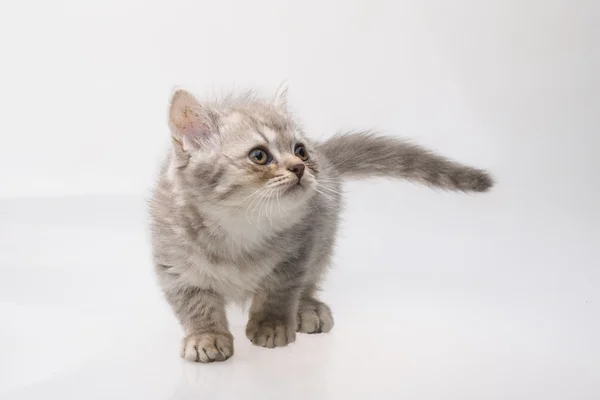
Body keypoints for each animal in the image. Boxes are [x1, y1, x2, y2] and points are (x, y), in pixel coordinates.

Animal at [149, 84, 492, 362]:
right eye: (259, 156)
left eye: (300, 150)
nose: (300, 167)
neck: (238, 228)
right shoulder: (174, 264)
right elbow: (195, 305)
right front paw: (206, 336)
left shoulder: (298, 251)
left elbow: (278, 292)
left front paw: (271, 325)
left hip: (324, 238)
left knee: (310, 281)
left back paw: (308, 308)